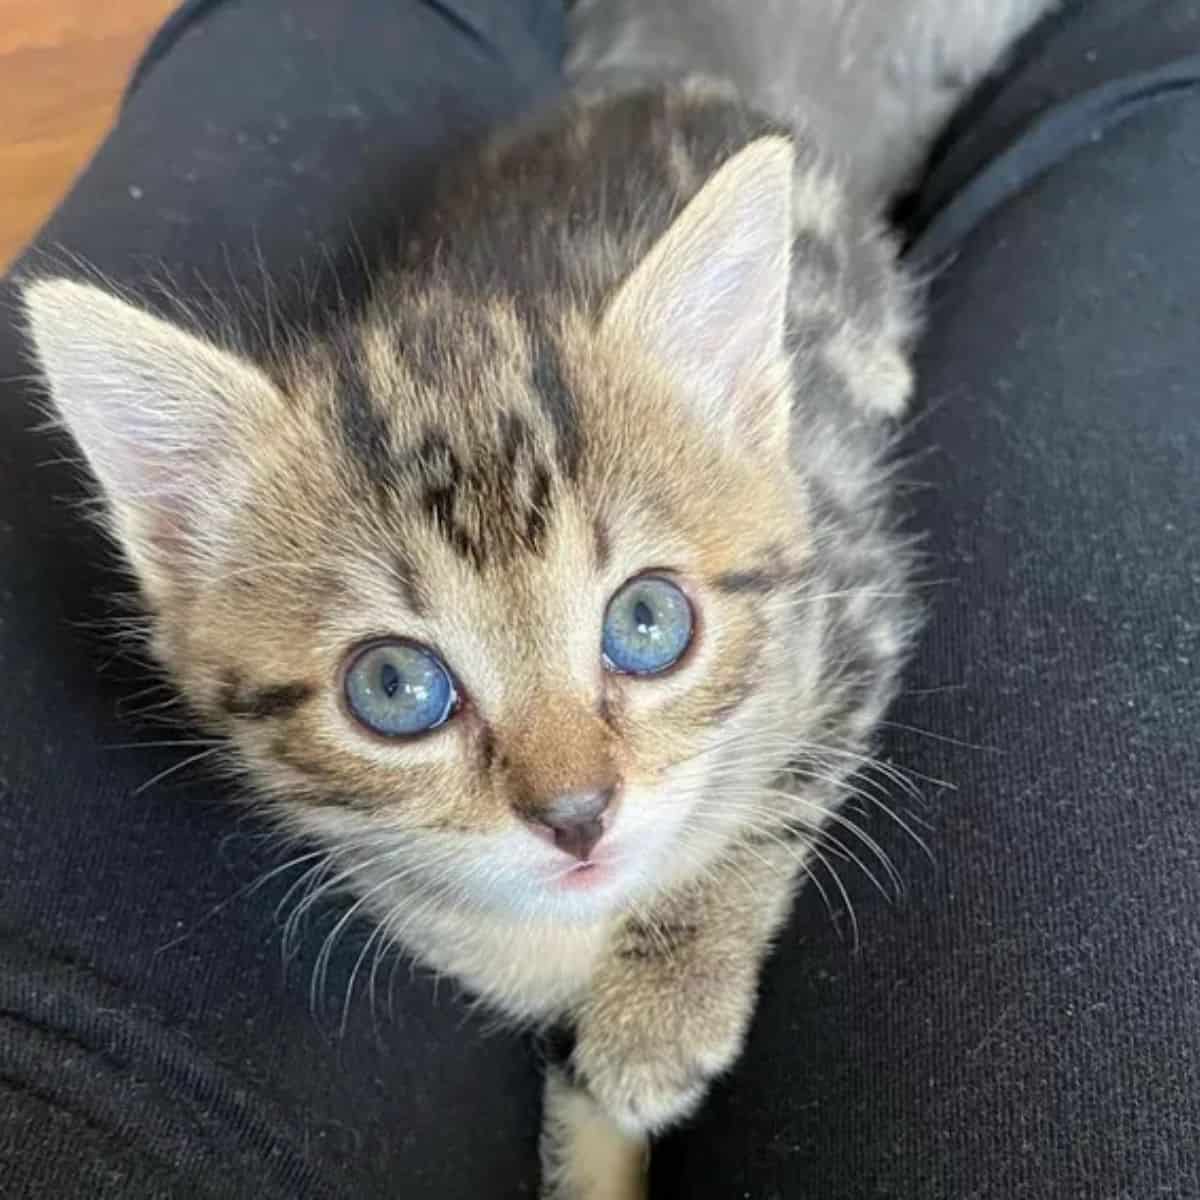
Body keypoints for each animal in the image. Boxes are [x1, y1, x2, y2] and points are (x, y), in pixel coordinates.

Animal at [18, 4, 1051, 1195]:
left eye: (648, 625)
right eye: (394, 687)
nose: (577, 815)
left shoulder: (853, 599)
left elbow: (773, 794)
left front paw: (667, 1004)